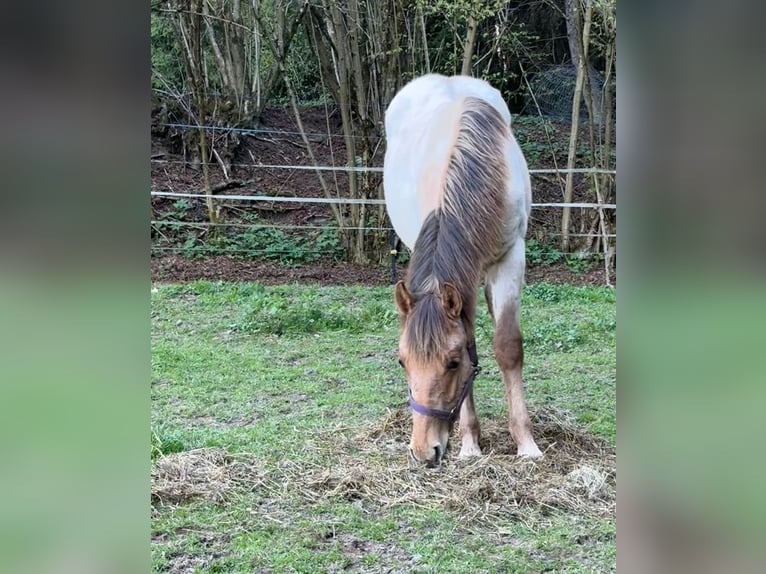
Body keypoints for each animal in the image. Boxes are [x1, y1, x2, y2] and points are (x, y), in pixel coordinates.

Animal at [383, 74, 542, 467]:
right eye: (402, 362)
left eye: (453, 364)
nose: (424, 451)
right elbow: (471, 338)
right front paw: (470, 444)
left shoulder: (511, 256)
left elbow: (507, 346)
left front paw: (526, 444)